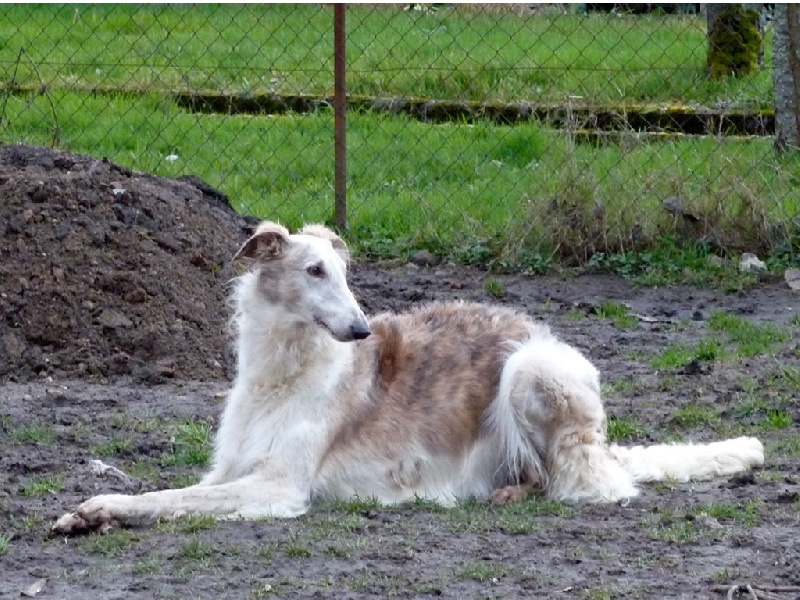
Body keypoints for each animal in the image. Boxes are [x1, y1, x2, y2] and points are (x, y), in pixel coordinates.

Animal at [53, 221, 764, 536]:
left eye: (343, 272)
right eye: (313, 270)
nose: (362, 331)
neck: (284, 373)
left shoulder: (277, 487)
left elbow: (160, 499)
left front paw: (97, 507)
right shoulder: (227, 472)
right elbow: (171, 491)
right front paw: (84, 513)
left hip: (533, 369)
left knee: (587, 485)